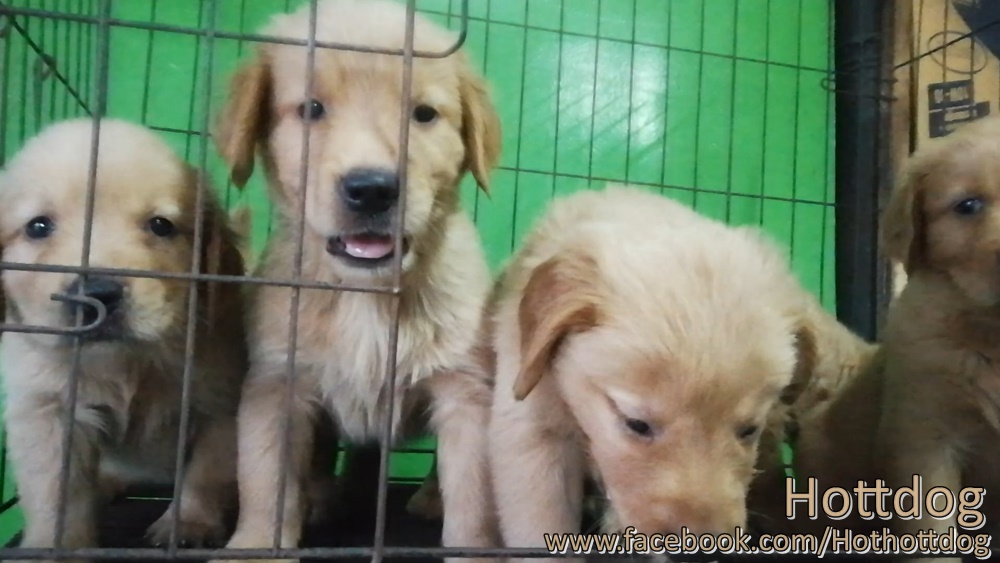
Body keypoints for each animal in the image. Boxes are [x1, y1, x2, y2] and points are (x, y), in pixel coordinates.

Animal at [0, 118, 247, 562]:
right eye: (38, 226)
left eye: (161, 225)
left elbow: (205, 473)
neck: (126, 358)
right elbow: (54, 492)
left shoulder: (219, 404)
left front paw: (189, 524)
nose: (97, 294)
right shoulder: (46, 411)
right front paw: (53, 544)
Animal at [208, 1, 502, 562]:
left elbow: (475, 499)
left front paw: (472, 544)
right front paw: (255, 545)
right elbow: (265, 480)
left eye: (424, 114)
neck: (367, 292)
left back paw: (425, 498)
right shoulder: (275, 384)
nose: (372, 189)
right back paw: (331, 497)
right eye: (311, 108)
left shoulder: (465, 390)